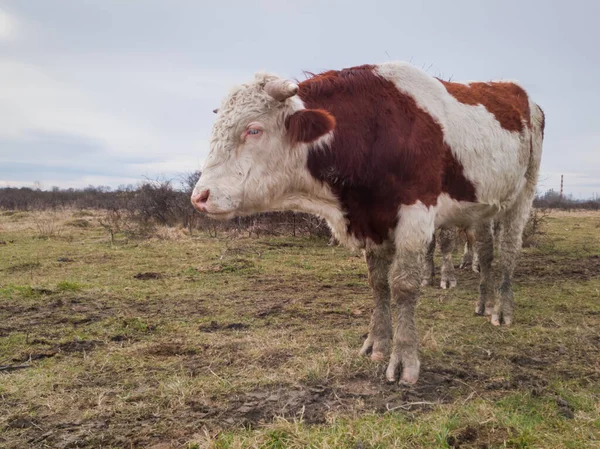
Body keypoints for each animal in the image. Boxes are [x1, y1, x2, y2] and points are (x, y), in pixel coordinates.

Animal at [191, 62, 544, 384]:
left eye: (253, 129)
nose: (199, 196)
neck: (372, 128)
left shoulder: (416, 216)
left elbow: (403, 286)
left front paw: (404, 358)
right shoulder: (372, 223)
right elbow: (379, 284)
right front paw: (377, 343)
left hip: (522, 196)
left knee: (508, 253)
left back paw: (502, 310)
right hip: (483, 209)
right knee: (485, 253)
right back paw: (483, 303)